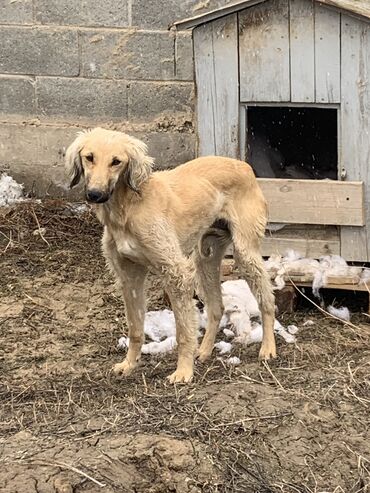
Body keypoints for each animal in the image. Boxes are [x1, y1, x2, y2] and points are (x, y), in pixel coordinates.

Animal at [65, 129, 276, 382]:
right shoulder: (129, 277)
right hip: (206, 258)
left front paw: (183, 371)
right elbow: (135, 328)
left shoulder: (176, 272)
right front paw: (129, 364)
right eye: (89, 157)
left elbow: (183, 330)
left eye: (116, 161)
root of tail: (244, 166)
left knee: (267, 300)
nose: (94, 194)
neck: (129, 207)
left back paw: (268, 347)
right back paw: (204, 351)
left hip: (245, 254)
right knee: (217, 307)